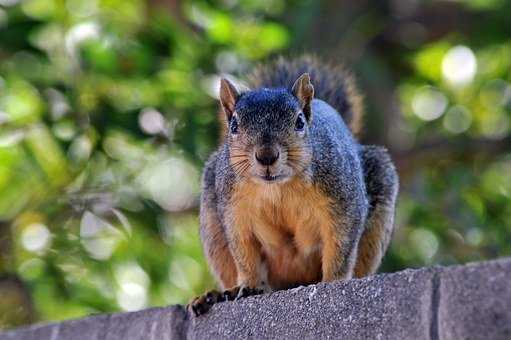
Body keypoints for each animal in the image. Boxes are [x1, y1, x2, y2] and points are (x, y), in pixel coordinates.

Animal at [190, 55, 398, 316]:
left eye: (299, 122)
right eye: (234, 125)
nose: (267, 156)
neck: (277, 188)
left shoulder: (344, 200)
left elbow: (340, 246)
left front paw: (334, 282)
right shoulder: (233, 210)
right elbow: (244, 254)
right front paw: (249, 286)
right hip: (212, 222)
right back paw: (218, 295)